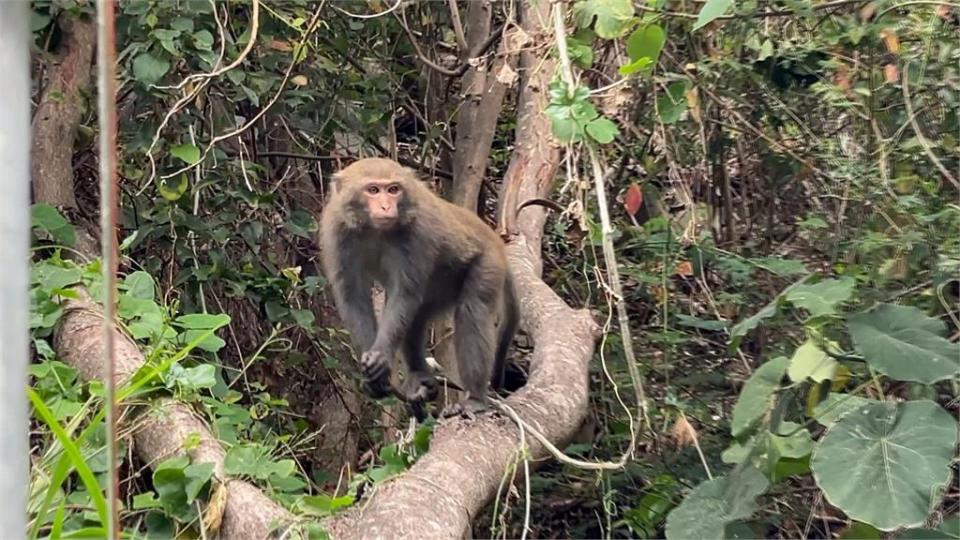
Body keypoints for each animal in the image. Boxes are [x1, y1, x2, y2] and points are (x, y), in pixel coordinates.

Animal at [320, 158, 516, 416]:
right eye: (373, 190)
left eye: (393, 189)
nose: (386, 207)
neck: (374, 229)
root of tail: (495, 238)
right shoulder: (337, 231)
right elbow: (353, 296)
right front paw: (374, 373)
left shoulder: (417, 233)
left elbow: (404, 293)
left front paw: (381, 357)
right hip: (444, 287)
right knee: (417, 317)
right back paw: (420, 377)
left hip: (487, 263)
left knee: (473, 310)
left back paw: (475, 397)